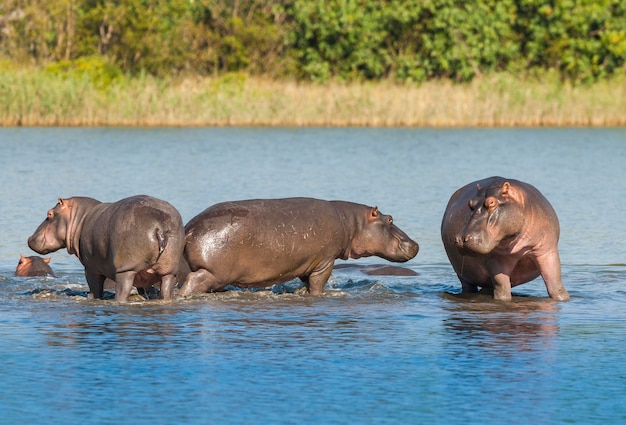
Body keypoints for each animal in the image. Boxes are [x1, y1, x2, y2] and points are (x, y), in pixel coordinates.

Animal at [28, 195, 184, 302]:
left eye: (49, 214)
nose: (29, 238)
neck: (79, 217)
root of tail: (160, 225)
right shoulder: (143, 275)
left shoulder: (91, 267)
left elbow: (95, 287)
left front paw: (92, 297)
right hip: (169, 271)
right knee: (166, 289)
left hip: (126, 270)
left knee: (123, 290)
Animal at [178, 196, 416, 294]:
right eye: (390, 219)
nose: (415, 244)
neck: (352, 223)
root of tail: (188, 229)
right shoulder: (325, 261)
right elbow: (318, 284)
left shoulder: (306, 263)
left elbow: (306, 282)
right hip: (213, 273)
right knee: (193, 282)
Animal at [438, 177, 572, 300]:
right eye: (469, 204)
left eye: (492, 202)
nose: (461, 238)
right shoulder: (497, 259)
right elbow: (502, 290)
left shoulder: (547, 252)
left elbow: (556, 286)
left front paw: (563, 297)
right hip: (463, 275)